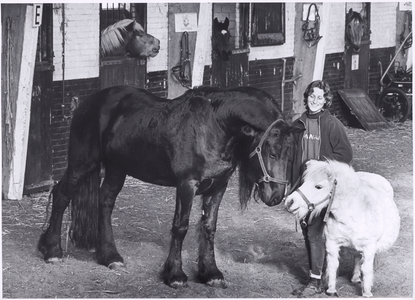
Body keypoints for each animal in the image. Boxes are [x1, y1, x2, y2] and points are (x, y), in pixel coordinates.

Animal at [37, 85, 304, 288]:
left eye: (289, 153)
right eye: (271, 152)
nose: (276, 195)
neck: (214, 126)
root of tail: (87, 102)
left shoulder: (218, 186)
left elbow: (209, 227)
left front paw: (211, 273)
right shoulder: (186, 185)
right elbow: (180, 227)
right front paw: (175, 275)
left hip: (116, 168)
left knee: (105, 202)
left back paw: (110, 255)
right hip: (83, 162)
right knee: (61, 195)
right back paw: (52, 251)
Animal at [286, 161, 400, 296]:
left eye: (318, 186)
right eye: (303, 182)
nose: (289, 202)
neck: (352, 213)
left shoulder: (369, 247)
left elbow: (366, 269)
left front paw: (367, 292)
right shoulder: (332, 243)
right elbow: (333, 265)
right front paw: (331, 290)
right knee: (357, 256)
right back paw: (355, 278)